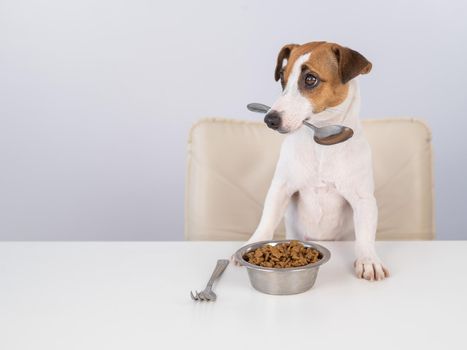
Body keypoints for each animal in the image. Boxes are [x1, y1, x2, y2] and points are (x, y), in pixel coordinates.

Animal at [236, 41, 390, 282]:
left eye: (310, 79)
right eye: (282, 79)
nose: (269, 119)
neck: (322, 146)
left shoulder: (363, 199)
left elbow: (365, 235)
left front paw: (368, 260)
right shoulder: (281, 188)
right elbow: (267, 218)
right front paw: (253, 242)